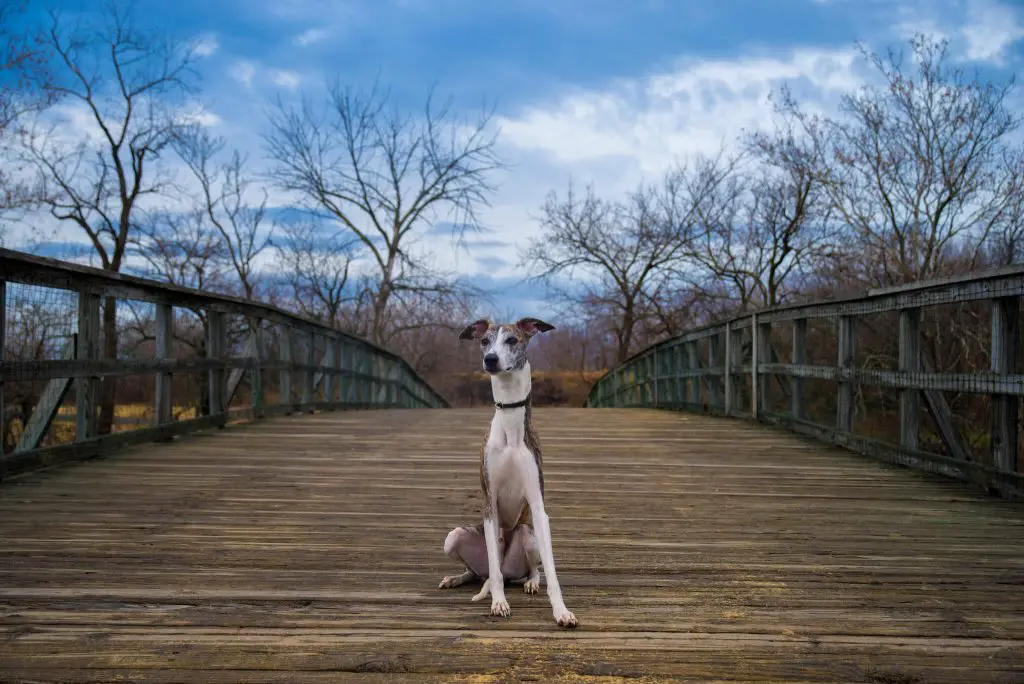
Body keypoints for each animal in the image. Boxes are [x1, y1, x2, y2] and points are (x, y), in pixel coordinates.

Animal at [438, 317, 581, 626]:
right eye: (484, 341)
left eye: (512, 340)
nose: (490, 360)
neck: (510, 426)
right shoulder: (489, 502)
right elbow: (492, 567)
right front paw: (498, 603)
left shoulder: (538, 505)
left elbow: (552, 570)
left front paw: (561, 611)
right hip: (453, 537)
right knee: (483, 572)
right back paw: (457, 578)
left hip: (527, 536)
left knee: (530, 568)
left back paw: (531, 581)